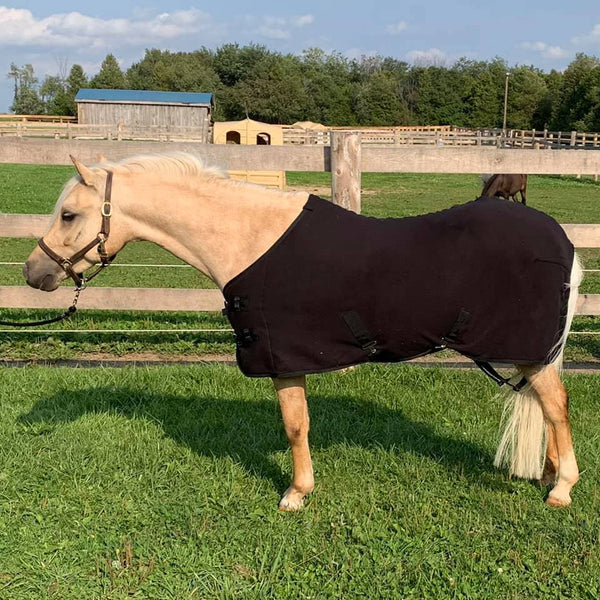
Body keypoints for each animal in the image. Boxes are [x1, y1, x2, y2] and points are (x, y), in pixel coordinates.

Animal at [23, 152, 580, 508]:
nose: (33, 273)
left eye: (68, 214)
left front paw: (295, 494)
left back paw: (562, 489)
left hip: (527, 350)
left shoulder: (282, 359)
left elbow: (295, 425)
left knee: (556, 404)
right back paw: (550, 473)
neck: (252, 240)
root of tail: (561, 240)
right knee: (548, 406)